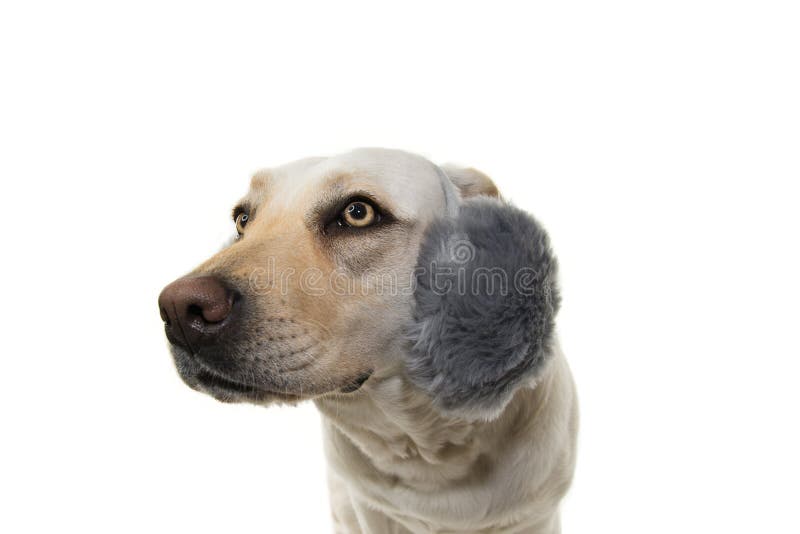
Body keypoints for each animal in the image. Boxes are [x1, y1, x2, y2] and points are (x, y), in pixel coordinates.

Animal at [159, 149, 580, 532]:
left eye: (357, 213)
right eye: (243, 219)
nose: (179, 311)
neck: (423, 441)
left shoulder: (534, 517)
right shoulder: (371, 508)